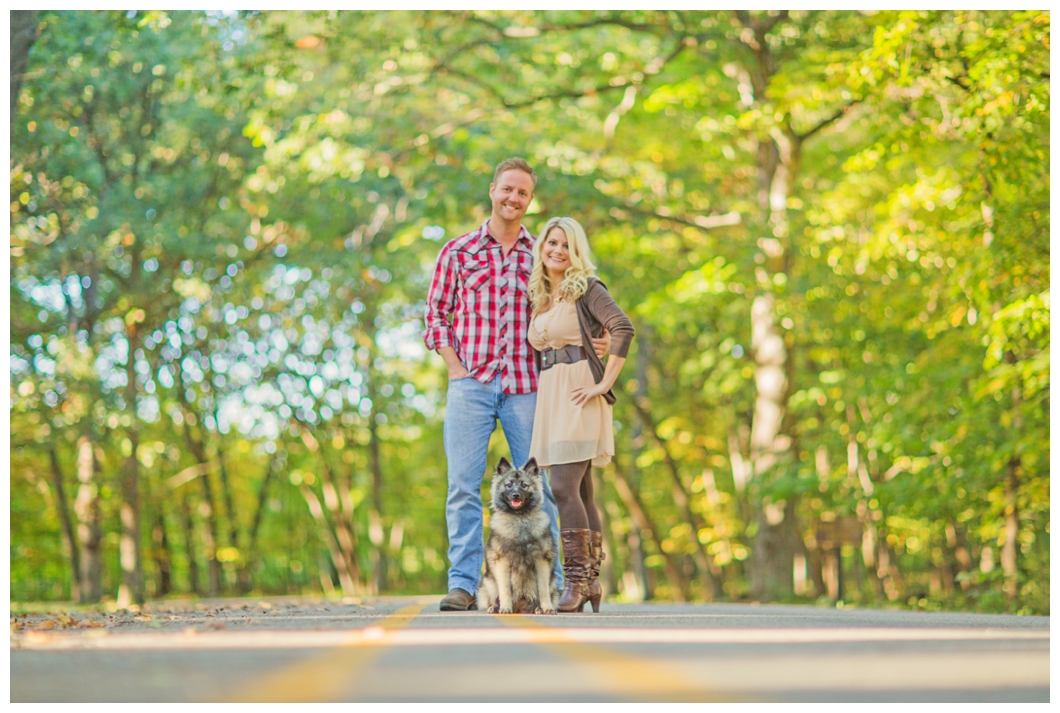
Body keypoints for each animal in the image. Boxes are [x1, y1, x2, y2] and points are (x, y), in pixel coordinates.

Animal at [479, 459, 559, 614]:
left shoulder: (541, 561)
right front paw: (505, 608)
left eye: (524, 485)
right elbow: (505, 589)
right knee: (492, 598)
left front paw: (547, 608)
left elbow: (543, 589)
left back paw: (538, 608)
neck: (519, 519)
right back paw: (495, 607)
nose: (516, 495)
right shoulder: (502, 562)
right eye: (509, 484)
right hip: (488, 582)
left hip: (553, 581)